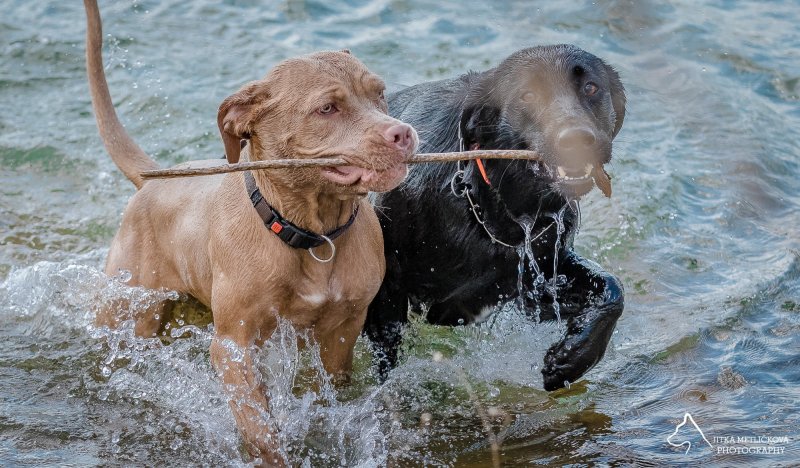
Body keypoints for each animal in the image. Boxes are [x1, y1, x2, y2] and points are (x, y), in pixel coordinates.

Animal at [83, 0, 418, 462]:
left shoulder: (342, 331)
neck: (311, 233)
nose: (401, 133)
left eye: (379, 93)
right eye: (327, 108)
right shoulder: (234, 345)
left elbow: (328, 394)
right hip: (131, 309)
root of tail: (153, 180)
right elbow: (259, 426)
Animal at [366, 44, 628, 390]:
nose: (575, 138)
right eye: (528, 95)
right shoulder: (386, 291)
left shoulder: (536, 279)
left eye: (591, 88)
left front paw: (572, 356)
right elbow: (385, 361)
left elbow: (613, 290)